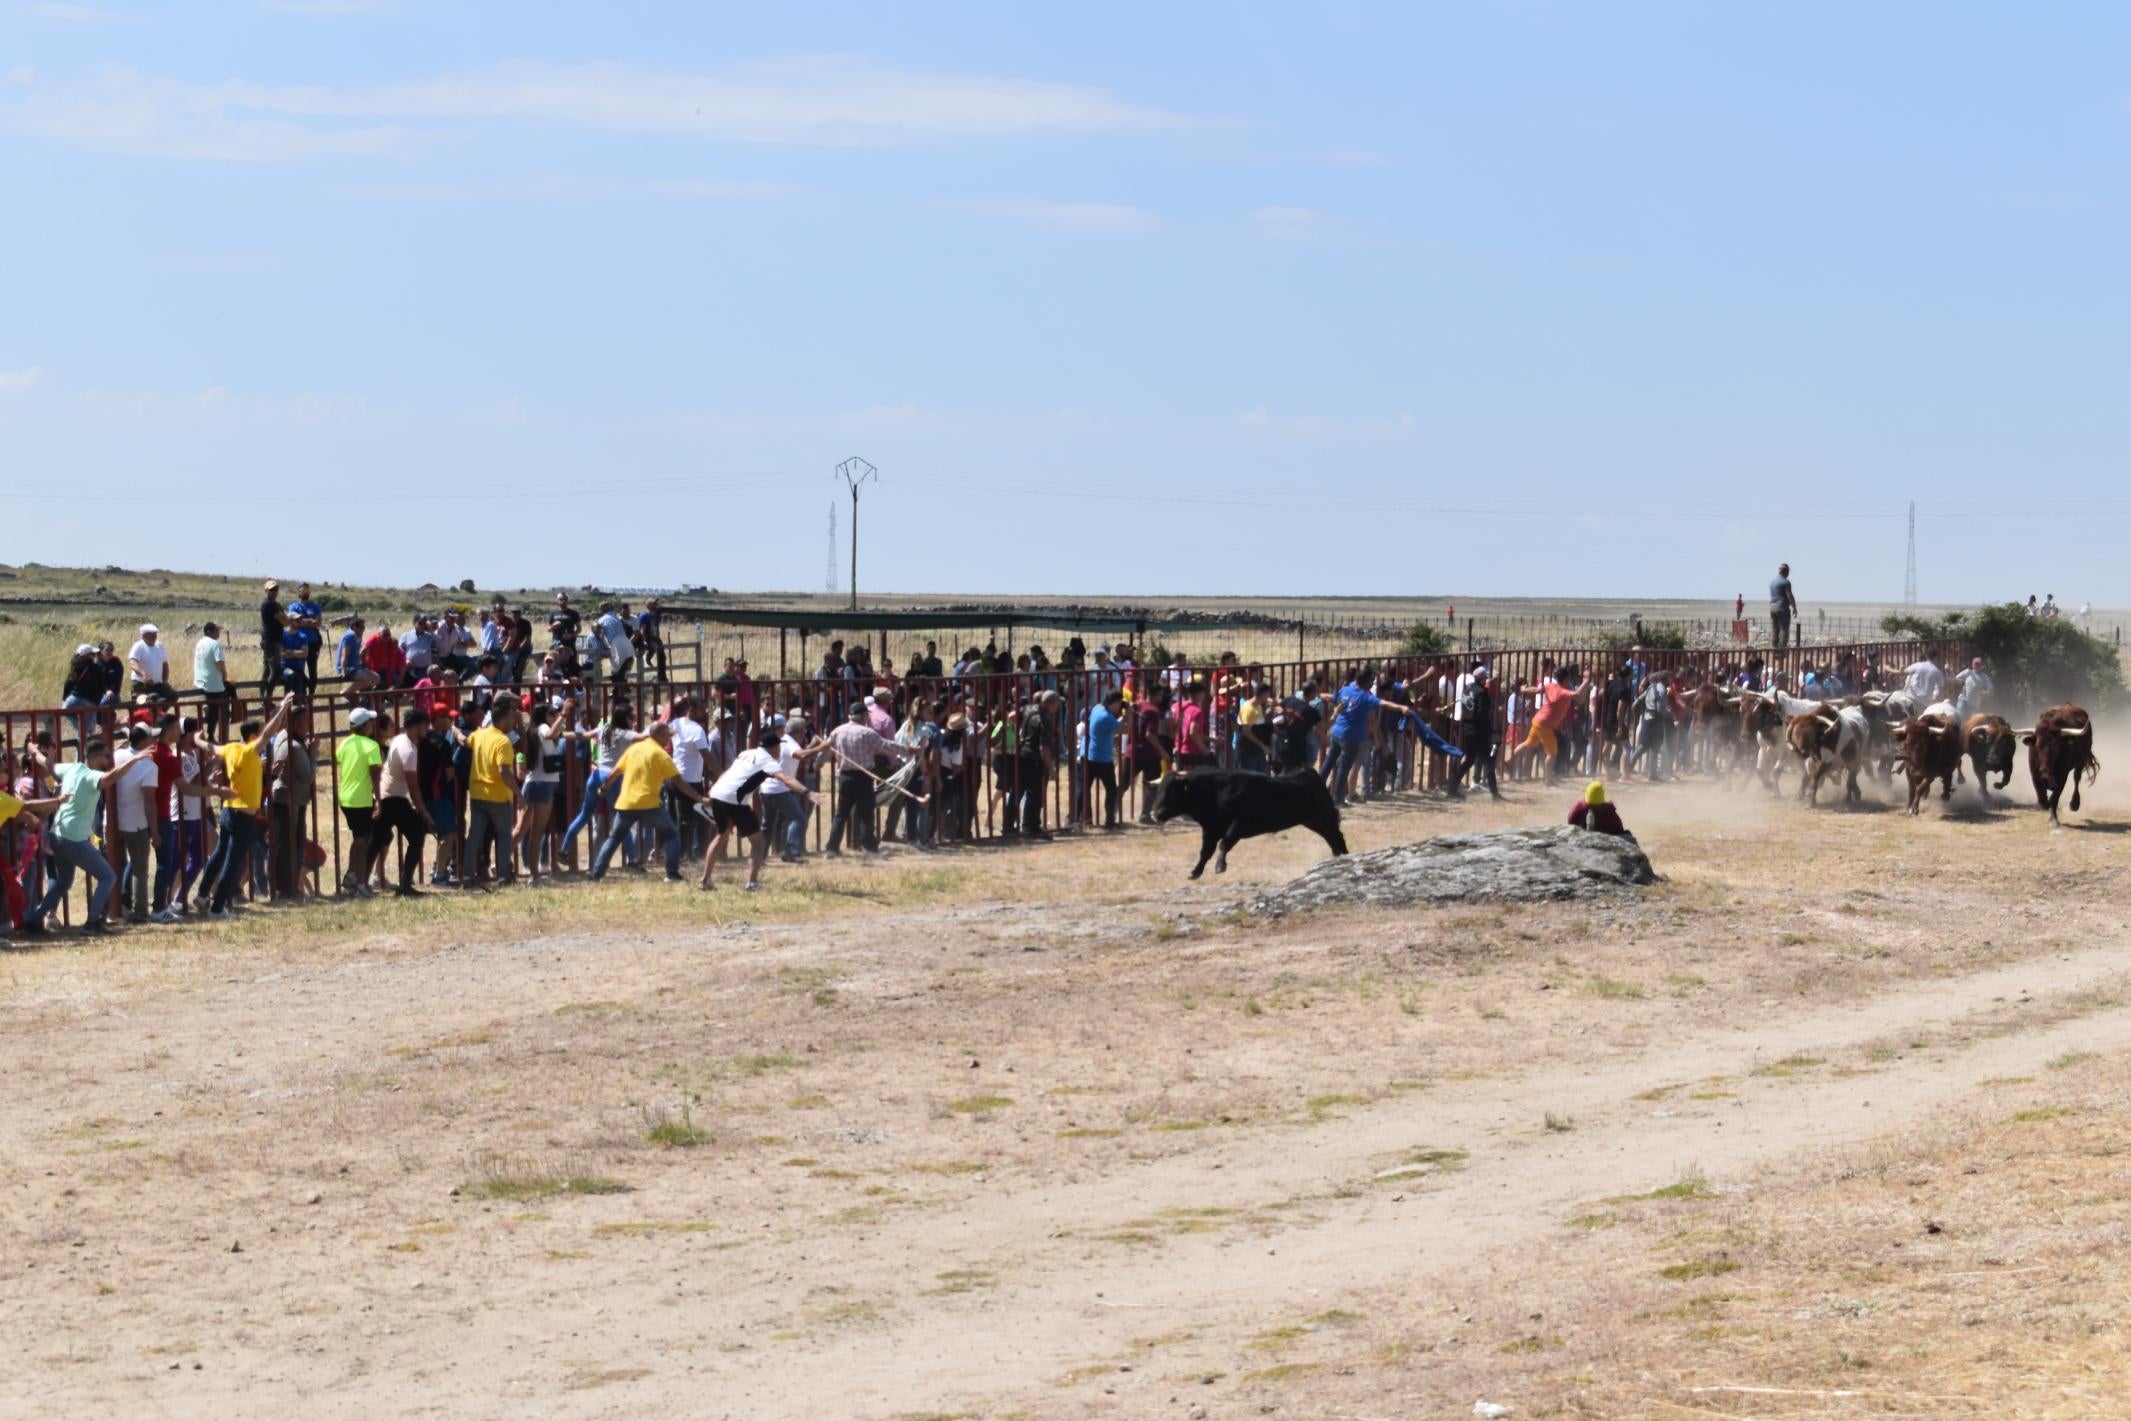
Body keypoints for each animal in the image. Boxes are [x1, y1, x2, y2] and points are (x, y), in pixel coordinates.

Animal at [1150, 766, 1346, 877]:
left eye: (1173, 791)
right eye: (1159, 789)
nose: (1155, 814)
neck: (1215, 792)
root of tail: (1311, 773)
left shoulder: (1239, 825)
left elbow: (1224, 844)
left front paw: (1220, 867)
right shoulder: (1210, 829)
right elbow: (1205, 852)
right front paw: (1195, 872)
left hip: (1323, 816)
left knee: (1336, 836)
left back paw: (1343, 856)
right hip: (1312, 821)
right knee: (1332, 838)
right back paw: (1339, 856)